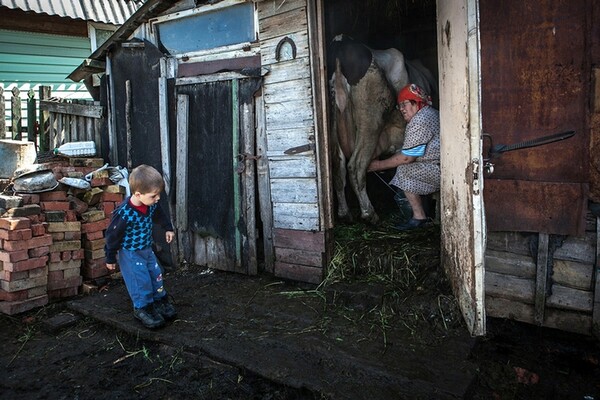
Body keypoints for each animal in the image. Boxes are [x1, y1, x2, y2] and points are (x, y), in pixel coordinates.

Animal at [328, 35, 408, 225]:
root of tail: (341, 41)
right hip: (371, 118)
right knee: (356, 166)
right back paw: (369, 214)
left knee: (338, 166)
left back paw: (345, 214)